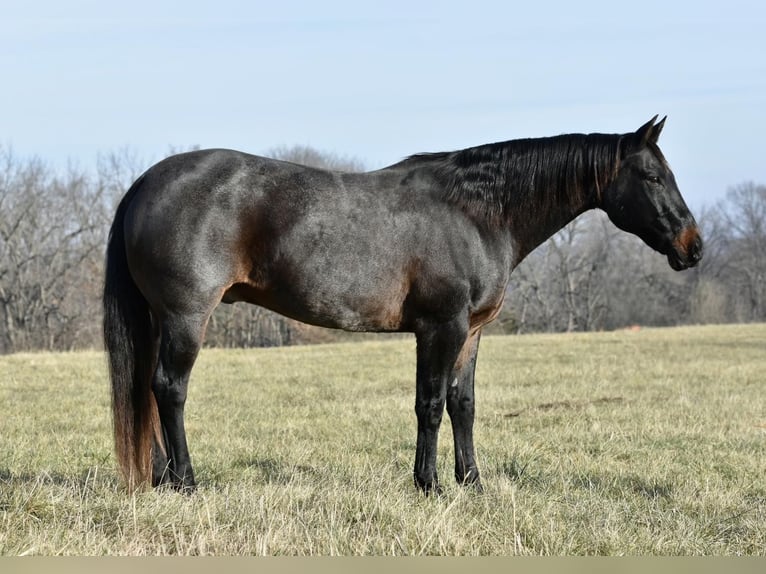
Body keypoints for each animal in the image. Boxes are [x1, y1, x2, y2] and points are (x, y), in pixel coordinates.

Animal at [105, 116, 704, 496]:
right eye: (653, 175)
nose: (693, 246)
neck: (477, 213)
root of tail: (144, 183)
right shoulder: (441, 327)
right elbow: (430, 405)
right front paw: (429, 484)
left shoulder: (472, 332)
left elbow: (463, 404)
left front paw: (472, 482)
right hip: (186, 317)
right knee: (169, 390)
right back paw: (186, 482)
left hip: (161, 320)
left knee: (147, 393)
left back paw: (158, 478)